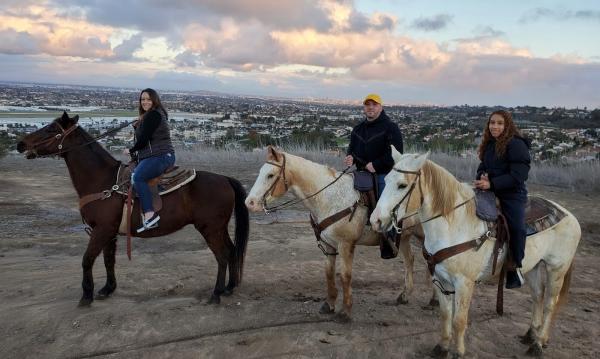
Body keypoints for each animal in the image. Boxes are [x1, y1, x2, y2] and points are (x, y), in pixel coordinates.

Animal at [17, 112, 248, 306]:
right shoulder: (108, 232)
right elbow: (108, 260)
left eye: (50, 129)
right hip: (220, 228)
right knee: (232, 250)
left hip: (210, 229)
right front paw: (107, 289)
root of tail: (225, 179)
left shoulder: (101, 230)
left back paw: (216, 294)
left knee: (222, 256)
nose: (20, 144)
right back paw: (229, 288)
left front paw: (86, 296)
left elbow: (87, 260)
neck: (102, 180)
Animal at [244, 148, 432, 322]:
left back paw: (434, 300)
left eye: (270, 175)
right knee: (410, 260)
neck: (329, 198)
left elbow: (345, 276)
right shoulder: (328, 245)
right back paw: (405, 295)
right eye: (261, 172)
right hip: (405, 237)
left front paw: (346, 311)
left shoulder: (346, 245)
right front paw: (329, 304)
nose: (250, 202)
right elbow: (329, 273)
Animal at [370, 148, 580, 358]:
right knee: (538, 296)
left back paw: (539, 343)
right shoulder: (440, 279)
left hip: (556, 269)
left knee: (550, 303)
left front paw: (458, 352)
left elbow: (459, 320)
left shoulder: (464, 283)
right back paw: (530, 335)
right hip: (533, 267)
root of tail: (568, 214)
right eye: (386, 179)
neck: (454, 224)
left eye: (402, 185)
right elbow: (445, 315)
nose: (375, 221)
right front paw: (442, 347)